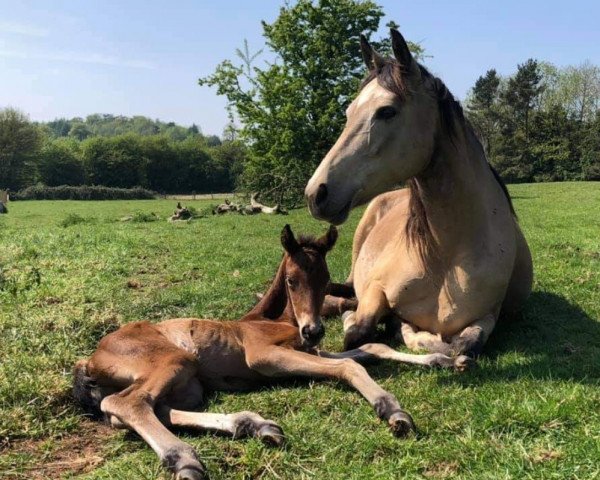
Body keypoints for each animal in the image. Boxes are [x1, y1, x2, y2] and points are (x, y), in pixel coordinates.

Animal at [75, 226, 466, 480]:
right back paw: (184, 459)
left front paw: (446, 359)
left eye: (326, 279)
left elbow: (372, 348)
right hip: (173, 360)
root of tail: (90, 360)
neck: (272, 319)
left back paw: (254, 425)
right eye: (292, 280)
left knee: (156, 409)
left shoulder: (308, 351)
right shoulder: (264, 356)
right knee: (127, 403)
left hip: (190, 385)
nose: (314, 330)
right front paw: (391, 410)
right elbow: (350, 369)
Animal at [308, 29, 532, 360]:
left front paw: (415, 334)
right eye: (349, 112)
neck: (446, 258)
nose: (315, 193)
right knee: (341, 296)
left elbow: (466, 345)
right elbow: (358, 330)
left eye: (387, 111)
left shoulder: (489, 315)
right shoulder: (375, 289)